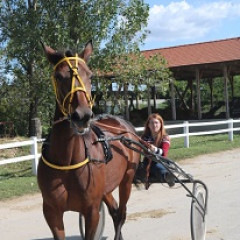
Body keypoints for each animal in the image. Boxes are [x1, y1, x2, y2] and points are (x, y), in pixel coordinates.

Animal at [37, 41, 141, 240]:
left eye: (90, 75)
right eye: (58, 76)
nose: (82, 115)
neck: (67, 161)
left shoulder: (92, 210)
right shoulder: (51, 212)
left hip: (127, 179)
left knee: (121, 213)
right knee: (115, 211)